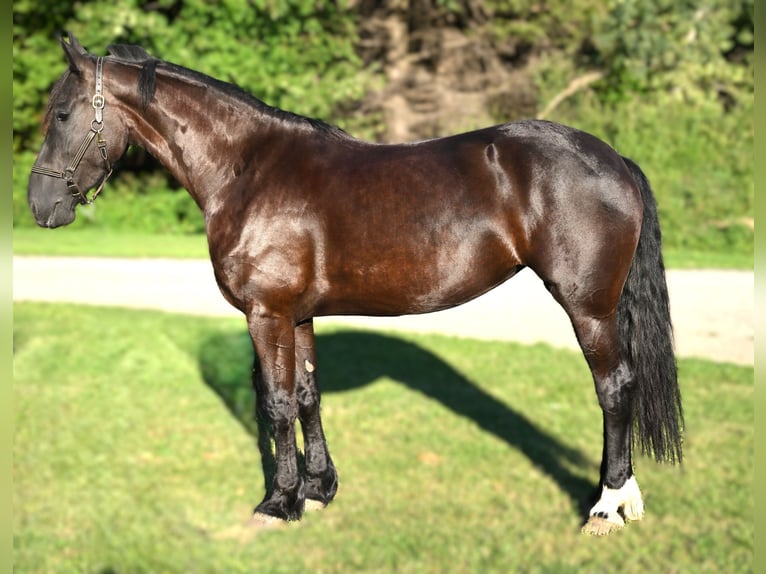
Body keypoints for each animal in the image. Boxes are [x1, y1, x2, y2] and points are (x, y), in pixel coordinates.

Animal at [27, 33, 683, 536]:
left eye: (62, 114)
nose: (39, 204)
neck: (248, 170)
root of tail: (614, 158)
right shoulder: (297, 314)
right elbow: (308, 396)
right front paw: (319, 489)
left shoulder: (265, 313)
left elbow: (276, 402)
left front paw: (279, 503)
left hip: (588, 306)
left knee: (614, 388)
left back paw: (607, 506)